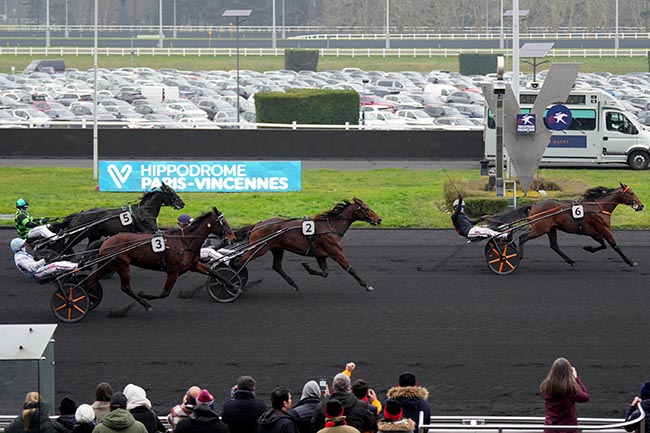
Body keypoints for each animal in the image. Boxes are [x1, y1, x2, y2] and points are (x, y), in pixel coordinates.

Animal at [85, 207, 233, 310]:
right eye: (223, 222)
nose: (232, 237)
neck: (184, 242)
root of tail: (106, 241)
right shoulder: (173, 271)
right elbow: (164, 293)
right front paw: (145, 295)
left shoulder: (194, 265)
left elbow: (214, 272)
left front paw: (232, 286)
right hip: (122, 265)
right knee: (125, 288)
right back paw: (145, 304)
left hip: (108, 265)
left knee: (91, 281)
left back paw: (89, 300)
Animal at [230, 197, 380, 292]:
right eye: (366, 208)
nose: (379, 219)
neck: (330, 227)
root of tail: (257, 225)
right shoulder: (335, 252)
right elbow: (349, 268)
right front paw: (366, 285)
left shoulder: (321, 255)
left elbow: (325, 273)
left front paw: (307, 267)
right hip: (259, 248)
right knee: (238, 262)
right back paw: (233, 283)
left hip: (277, 248)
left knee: (277, 266)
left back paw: (293, 284)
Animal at [486, 183, 644, 266]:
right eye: (631, 193)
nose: (641, 206)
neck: (600, 207)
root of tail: (534, 205)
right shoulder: (604, 229)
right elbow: (615, 245)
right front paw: (630, 261)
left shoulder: (593, 231)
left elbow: (603, 245)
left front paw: (588, 248)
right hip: (540, 228)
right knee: (522, 238)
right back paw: (514, 257)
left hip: (551, 229)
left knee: (554, 246)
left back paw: (571, 261)